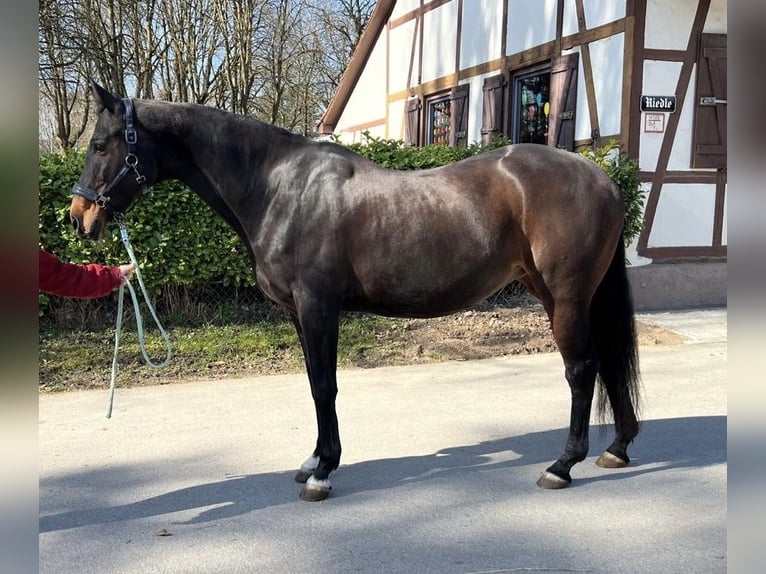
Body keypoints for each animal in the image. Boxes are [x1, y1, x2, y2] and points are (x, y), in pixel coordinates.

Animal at [69, 81, 641, 502]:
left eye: (100, 144)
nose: (79, 217)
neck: (280, 187)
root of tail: (603, 178)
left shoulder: (318, 307)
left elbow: (326, 386)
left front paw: (323, 472)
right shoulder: (299, 314)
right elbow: (313, 384)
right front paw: (314, 460)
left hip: (566, 298)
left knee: (582, 369)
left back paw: (562, 465)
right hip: (562, 294)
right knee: (608, 362)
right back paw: (617, 448)